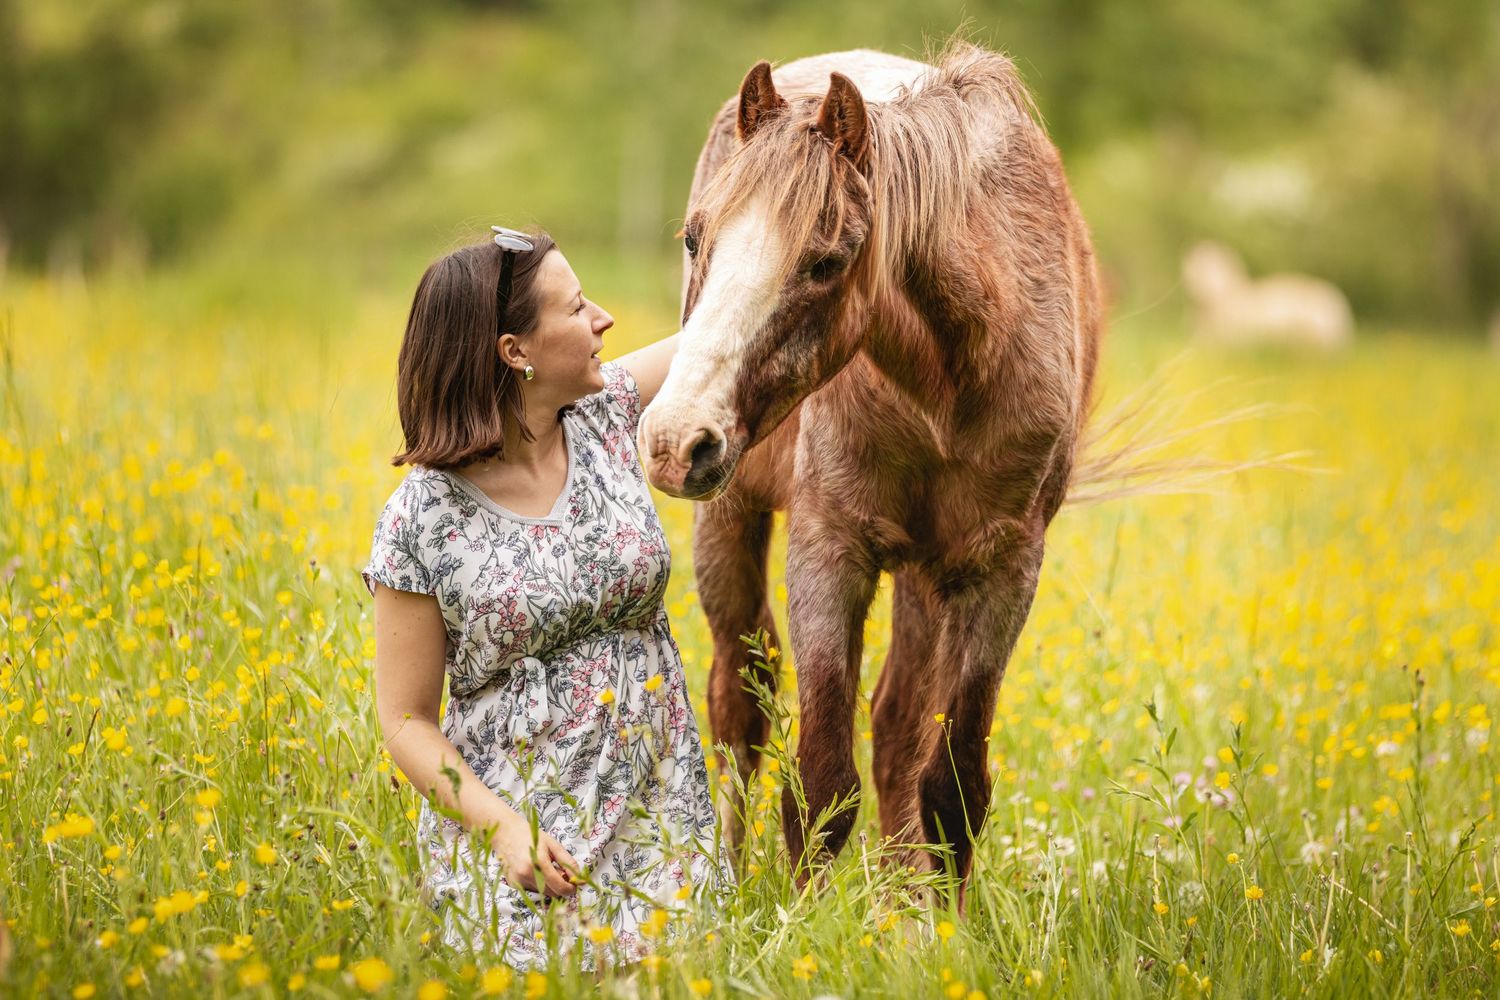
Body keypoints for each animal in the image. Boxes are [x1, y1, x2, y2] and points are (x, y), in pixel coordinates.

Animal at [636, 43, 1103, 900]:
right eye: (693, 239)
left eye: (826, 263)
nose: (677, 440)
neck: (950, 382)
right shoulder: (830, 551)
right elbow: (821, 781)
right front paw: (806, 920)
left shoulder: (1001, 571)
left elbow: (951, 785)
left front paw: (937, 923)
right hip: (732, 519)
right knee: (739, 708)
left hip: (923, 574)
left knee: (895, 728)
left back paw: (897, 895)